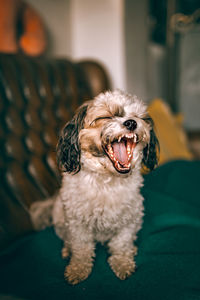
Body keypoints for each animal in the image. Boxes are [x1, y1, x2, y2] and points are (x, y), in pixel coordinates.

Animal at [30, 88, 159, 284]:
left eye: (139, 117)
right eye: (106, 116)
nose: (131, 122)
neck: (106, 182)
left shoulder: (129, 221)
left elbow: (121, 244)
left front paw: (123, 262)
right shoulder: (78, 225)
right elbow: (82, 249)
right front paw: (78, 269)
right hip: (60, 219)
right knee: (67, 239)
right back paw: (68, 250)